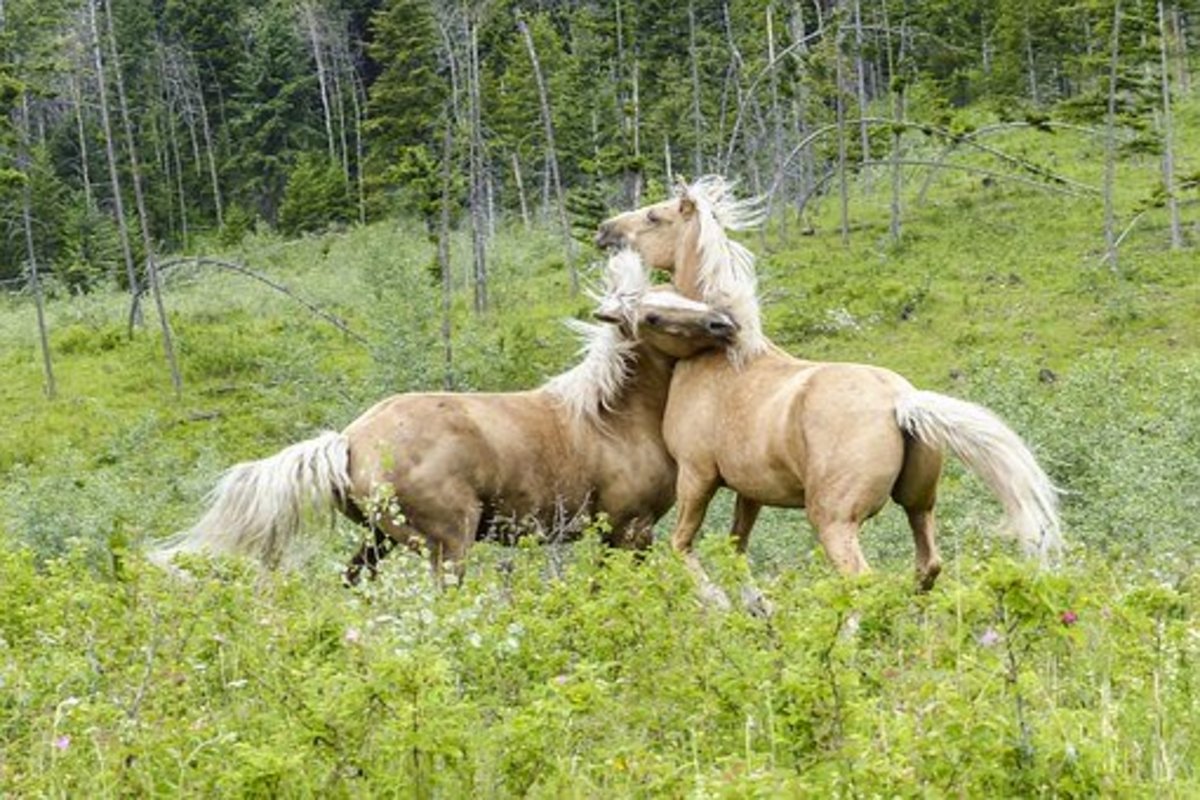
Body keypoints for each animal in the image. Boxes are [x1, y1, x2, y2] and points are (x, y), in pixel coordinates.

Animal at [148, 250, 740, 584]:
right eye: (655, 315)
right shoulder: (628, 530)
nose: (724, 323)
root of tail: (348, 441)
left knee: (354, 585)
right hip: (447, 543)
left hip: (382, 540)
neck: (613, 419)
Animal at [596, 176, 1062, 602]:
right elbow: (737, 552)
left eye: (655, 216)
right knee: (928, 565)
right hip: (918, 504)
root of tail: (901, 402)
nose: (605, 230)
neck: (722, 356)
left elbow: (683, 547)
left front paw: (720, 603)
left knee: (863, 581)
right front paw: (755, 607)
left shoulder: (697, 476)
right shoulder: (751, 491)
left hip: (834, 519)